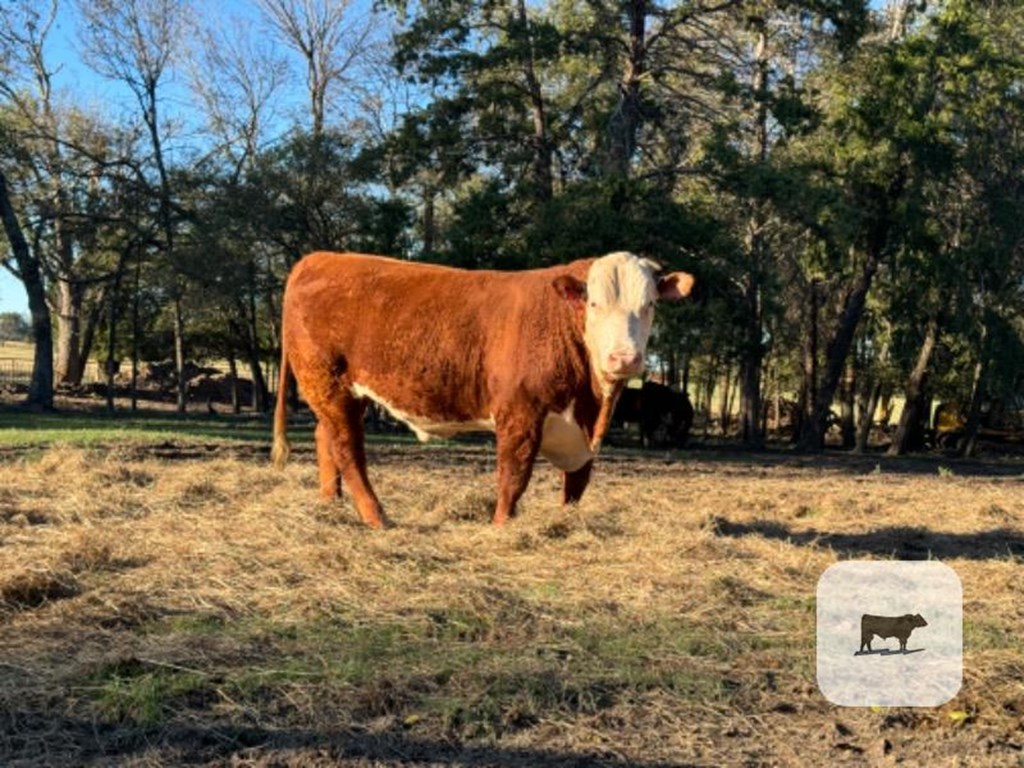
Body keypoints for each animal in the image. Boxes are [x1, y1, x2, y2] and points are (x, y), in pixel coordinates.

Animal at [270, 252, 696, 528]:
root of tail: (318, 258)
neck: (593, 404)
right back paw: (376, 517)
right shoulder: (520, 414)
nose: (624, 358)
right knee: (347, 449)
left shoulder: (584, 430)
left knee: (325, 438)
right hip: (328, 384)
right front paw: (502, 525)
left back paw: (331, 504)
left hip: (338, 394)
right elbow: (514, 475)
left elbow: (577, 482)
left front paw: (567, 523)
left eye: (650, 304)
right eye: (593, 304)